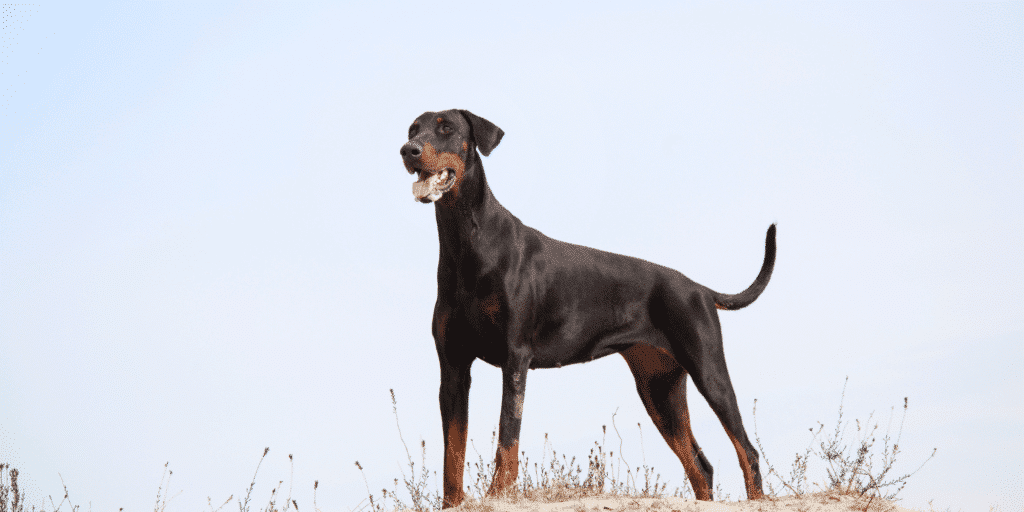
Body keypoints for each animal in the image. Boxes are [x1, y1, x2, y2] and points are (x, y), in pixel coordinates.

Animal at [399, 110, 774, 505]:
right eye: (413, 130)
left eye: (446, 127)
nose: (408, 150)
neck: (465, 242)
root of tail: (700, 288)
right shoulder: (453, 367)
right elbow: (452, 454)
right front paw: (453, 504)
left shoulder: (515, 359)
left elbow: (507, 439)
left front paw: (498, 495)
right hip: (659, 389)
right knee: (701, 467)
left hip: (708, 371)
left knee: (746, 450)